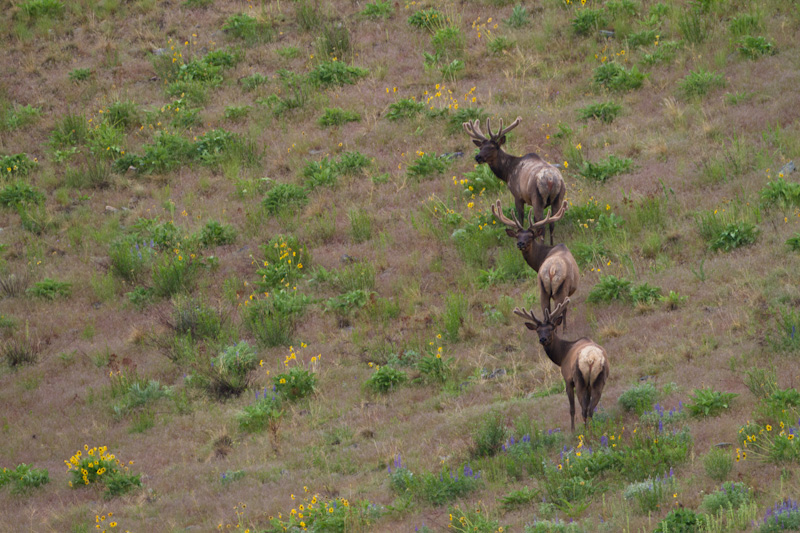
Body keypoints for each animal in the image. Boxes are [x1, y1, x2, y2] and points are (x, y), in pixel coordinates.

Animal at [460, 116, 564, 245]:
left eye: (492, 147)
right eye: (480, 147)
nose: (478, 157)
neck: (507, 172)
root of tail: (551, 179)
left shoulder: (517, 195)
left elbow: (520, 219)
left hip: (537, 198)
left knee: (543, 226)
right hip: (558, 198)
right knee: (552, 224)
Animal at [490, 198, 580, 328]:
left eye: (530, 236)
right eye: (517, 236)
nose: (520, 243)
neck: (540, 260)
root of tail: (551, 270)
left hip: (542, 290)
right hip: (561, 290)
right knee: (558, 313)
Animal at [516, 298, 608, 430]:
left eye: (551, 328)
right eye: (538, 331)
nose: (543, 339)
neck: (562, 356)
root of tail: (592, 360)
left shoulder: (568, 379)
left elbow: (572, 409)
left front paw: (572, 430)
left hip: (579, 380)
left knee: (583, 409)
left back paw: (585, 431)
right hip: (599, 380)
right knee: (590, 409)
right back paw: (592, 429)